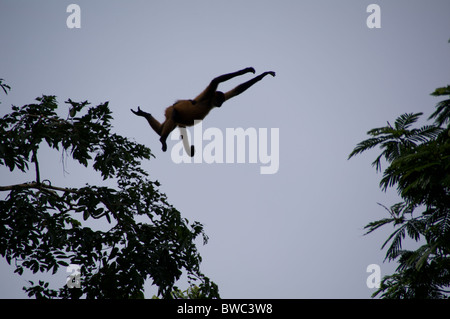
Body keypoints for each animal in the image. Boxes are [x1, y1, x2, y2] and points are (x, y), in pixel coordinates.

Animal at [131, 67, 274, 156]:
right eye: (219, 100)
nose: (220, 104)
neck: (210, 102)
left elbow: (237, 90)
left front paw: (263, 75)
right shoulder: (207, 95)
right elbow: (215, 80)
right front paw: (245, 70)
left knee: (164, 127)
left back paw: (146, 115)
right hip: (171, 109)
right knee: (174, 115)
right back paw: (162, 139)